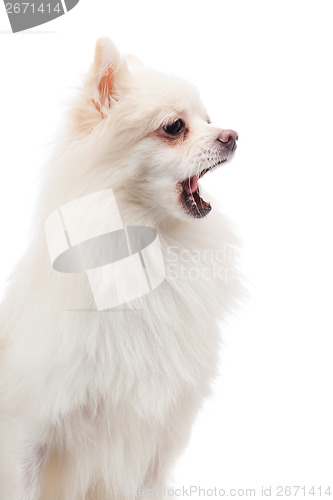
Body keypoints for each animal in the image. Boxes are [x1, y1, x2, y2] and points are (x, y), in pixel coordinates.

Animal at [0, 37, 239, 498]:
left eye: (208, 119)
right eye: (174, 127)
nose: (234, 135)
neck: (150, 246)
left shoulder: (153, 442)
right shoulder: (28, 427)